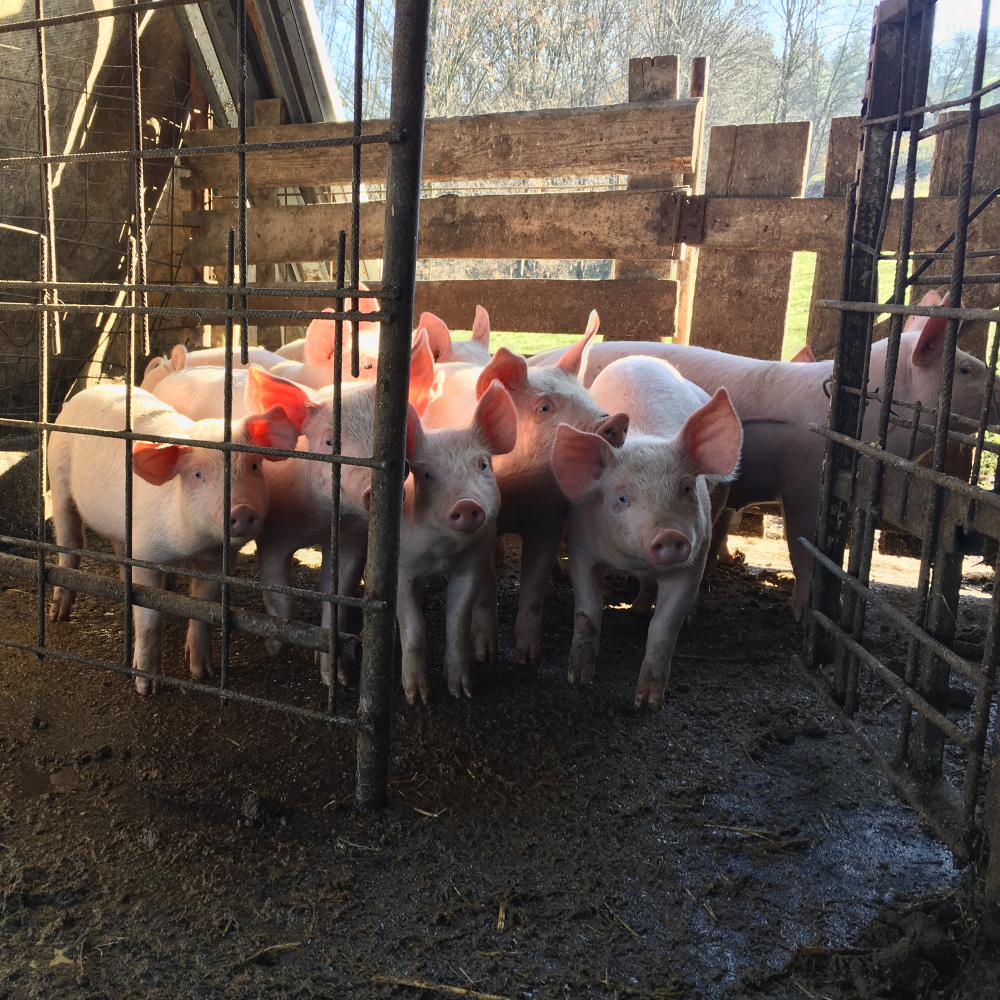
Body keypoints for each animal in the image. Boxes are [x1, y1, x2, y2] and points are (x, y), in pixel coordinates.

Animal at [47, 386, 296, 692]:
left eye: (253, 466)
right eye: (197, 474)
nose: (242, 510)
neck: (192, 545)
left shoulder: (216, 562)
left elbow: (204, 608)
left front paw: (202, 674)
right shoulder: (147, 550)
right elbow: (149, 618)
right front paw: (146, 688)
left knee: (119, 549)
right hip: (58, 476)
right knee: (70, 541)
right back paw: (58, 616)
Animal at [548, 356, 744, 708]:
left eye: (686, 489)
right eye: (622, 498)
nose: (669, 535)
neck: (635, 562)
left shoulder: (691, 563)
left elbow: (664, 628)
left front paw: (648, 702)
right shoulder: (582, 549)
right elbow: (588, 609)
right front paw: (577, 679)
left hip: (720, 500)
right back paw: (637, 608)